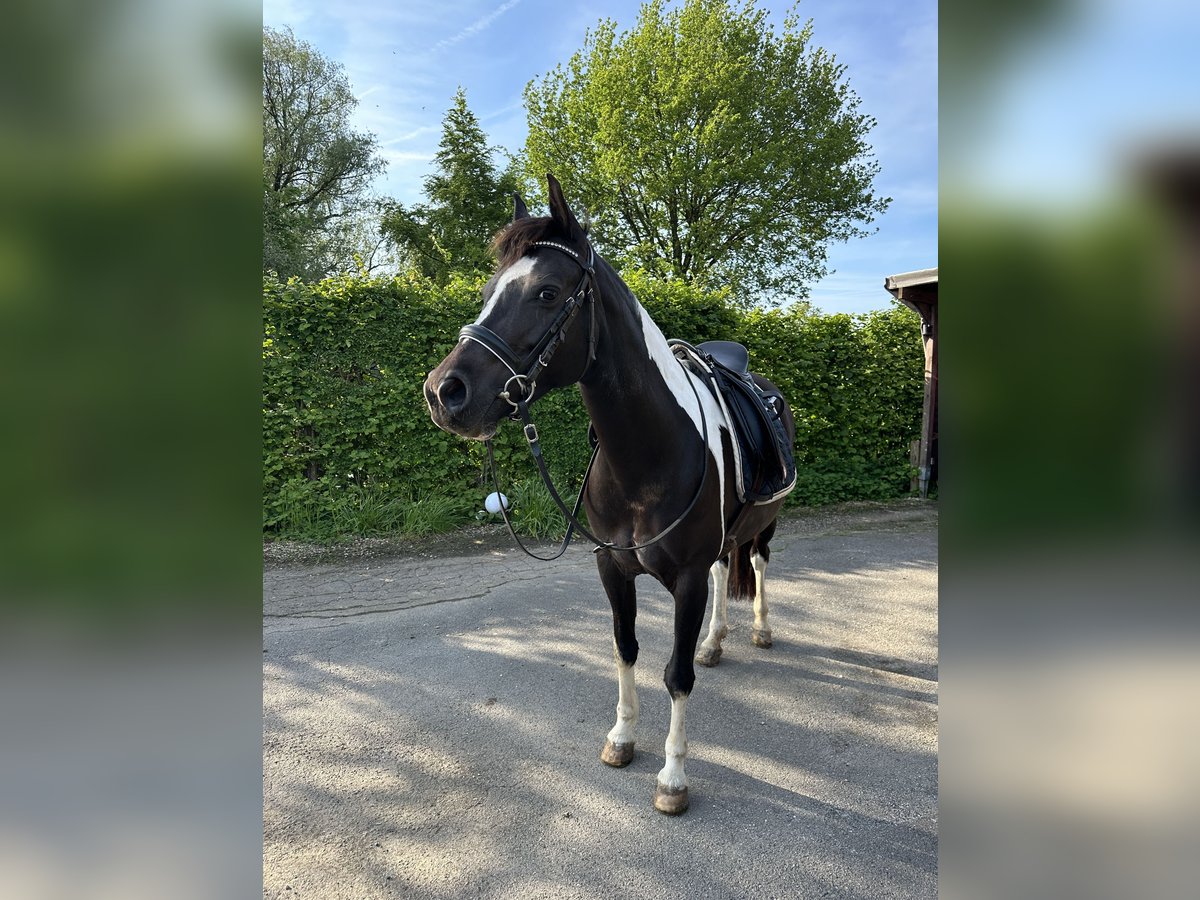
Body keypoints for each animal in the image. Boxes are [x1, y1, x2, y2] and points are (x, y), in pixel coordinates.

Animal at [424, 172, 796, 816]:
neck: (648, 457)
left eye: (547, 292)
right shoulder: (611, 567)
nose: (445, 392)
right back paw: (715, 641)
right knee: (728, 570)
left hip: (765, 527)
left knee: (757, 565)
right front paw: (621, 737)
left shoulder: (686, 578)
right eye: (490, 291)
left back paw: (760, 630)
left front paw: (673, 776)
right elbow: (625, 648)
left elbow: (676, 674)